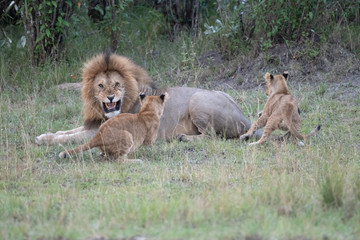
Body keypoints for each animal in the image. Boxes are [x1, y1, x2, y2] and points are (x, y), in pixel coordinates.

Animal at [34, 51, 262, 145]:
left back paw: (183, 138)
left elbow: (70, 137)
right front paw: (44, 135)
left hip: (198, 100)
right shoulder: (95, 124)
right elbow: (67, 131)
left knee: (213, 136)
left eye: (117, 84)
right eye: (100, 85)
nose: (110, 97)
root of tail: (246, 119)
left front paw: (46, 140)